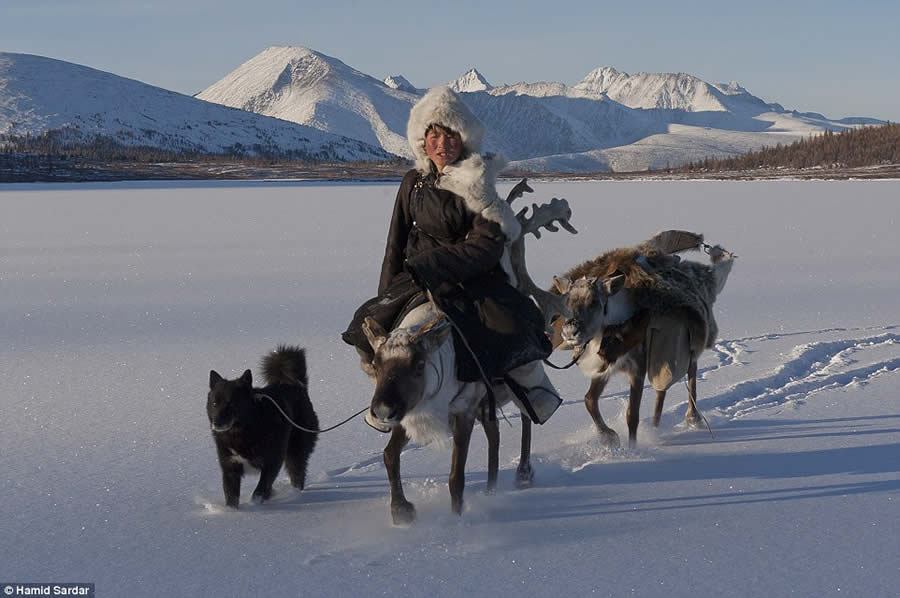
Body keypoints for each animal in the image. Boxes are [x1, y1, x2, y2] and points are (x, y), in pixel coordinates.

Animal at [207, 346, 320, 510]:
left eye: (231, 404)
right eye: (215, 403)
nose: (216, 424)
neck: (243, 430)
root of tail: (296, 385)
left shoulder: (272, 462)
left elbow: (260, 488)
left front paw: (257, 503)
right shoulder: (230, 467)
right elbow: (231, 495)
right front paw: (231, 512)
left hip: (296, 452)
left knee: (297, 473)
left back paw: (296, 494)